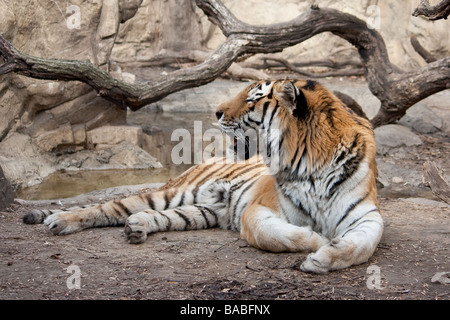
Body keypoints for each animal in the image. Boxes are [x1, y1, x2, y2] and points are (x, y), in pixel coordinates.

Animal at [22, 79, 384, 272]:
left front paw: (324, 258)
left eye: (252, 99)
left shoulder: (367, 215)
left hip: (201, 211)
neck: (312, 163)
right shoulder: (260, 209)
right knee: (106, 208)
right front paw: (317, 241)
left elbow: (363, 245)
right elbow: (275, 234)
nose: (217, 112)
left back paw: (137, 227)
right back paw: (61, 221)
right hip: (170, 192)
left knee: (159, 217)